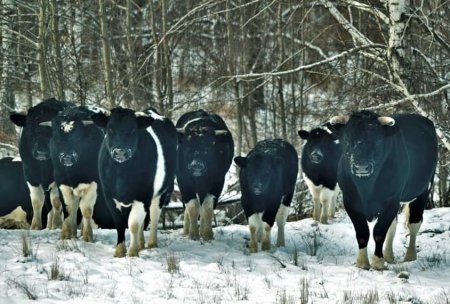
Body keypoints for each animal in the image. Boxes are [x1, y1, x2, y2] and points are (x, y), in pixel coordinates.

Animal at [9, 98, 72, 229]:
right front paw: (35, 225)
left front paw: (57, 224)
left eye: (53, 130)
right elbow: (36, 201)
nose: (41, 151)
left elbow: (56, 201)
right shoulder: (29, 173)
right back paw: (48, 224)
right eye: (29, 127)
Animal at [40, 105, 114, 241]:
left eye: (78, 138)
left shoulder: (93, 184)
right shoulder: (62, 183)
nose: (67, 157)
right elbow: (68, 209)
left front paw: (87, 236)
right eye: (56, 138)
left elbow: (86, 210)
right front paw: (66, 234)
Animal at [90, 107, 177, 256]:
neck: (122, 174)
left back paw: (151, 243)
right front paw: (120, 251)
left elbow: (134, 224)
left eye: (133, 130)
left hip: (160, 192)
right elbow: (120, 223)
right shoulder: (109, 196)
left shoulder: (143, 194)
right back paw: (140, 244)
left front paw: (132, 252)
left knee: (153, 215)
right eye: (110, 129)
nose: (120, 152)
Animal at [175, 108, 234, 240]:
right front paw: (193, 234)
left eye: (208, 148)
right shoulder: (183, 181)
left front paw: (207, 234)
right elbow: (192, 207)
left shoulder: (218, 181)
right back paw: (186, 230)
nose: (196, 165)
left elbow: (207, 208)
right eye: (187, 148)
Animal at [328, 110, 438, 270]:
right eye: (347, 139)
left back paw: (410, 257)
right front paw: (362, 262)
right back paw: (389, 256)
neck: (366, 187)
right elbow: (362, 232)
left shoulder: (391, 200)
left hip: (423, 190)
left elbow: (379, 232)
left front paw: (377, 262)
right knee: (393, 227)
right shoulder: (350, 201)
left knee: (413, 224)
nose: (361, 167)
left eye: (378, 141)